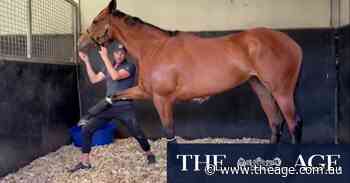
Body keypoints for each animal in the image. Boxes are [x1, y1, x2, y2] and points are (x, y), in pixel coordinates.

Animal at [78, 0, 304, 144]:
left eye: (96, 21)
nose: (80, 42)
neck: (154, 48)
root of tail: (292, 44)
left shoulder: (162, 99)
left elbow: (169, 132)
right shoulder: (145, 91)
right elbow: (112, 96)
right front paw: (85, 118)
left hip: (281, 91)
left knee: (293, 124)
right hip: (261, 88)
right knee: (275, 123)